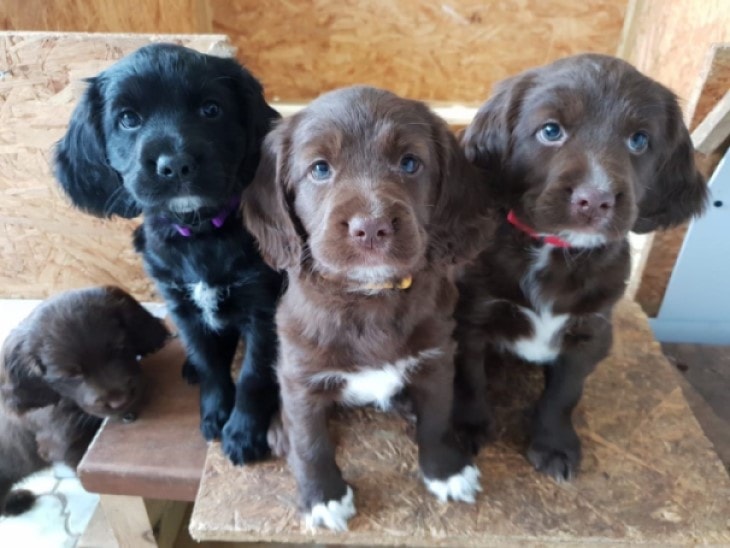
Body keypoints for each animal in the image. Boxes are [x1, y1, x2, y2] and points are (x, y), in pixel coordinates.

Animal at [53, 42, 282, 464]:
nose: (175, 165)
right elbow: (210, 365)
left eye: (211, 109)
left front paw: (243, 432)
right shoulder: (181, 306)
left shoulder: (263, 306)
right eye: (128, 119)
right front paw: (215, 413)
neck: (200, 233)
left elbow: (254, 374)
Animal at [246, 85, 494, 532]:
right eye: (320, 169)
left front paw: (446, 471)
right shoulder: (300, 376)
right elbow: (310, 443)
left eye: (410, 163)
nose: (372, 227)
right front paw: (323, 497)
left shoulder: (436, 359)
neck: (368, 297)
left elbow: (437, 420)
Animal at [450, 51, 704, 480]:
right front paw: (465, 428)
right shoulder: (472, 317)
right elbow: (470, 378)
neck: (556, 250)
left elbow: (563, 394)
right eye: (551, 131)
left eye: (639, 140)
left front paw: (554, 444)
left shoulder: (590, 331)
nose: (595, 200)